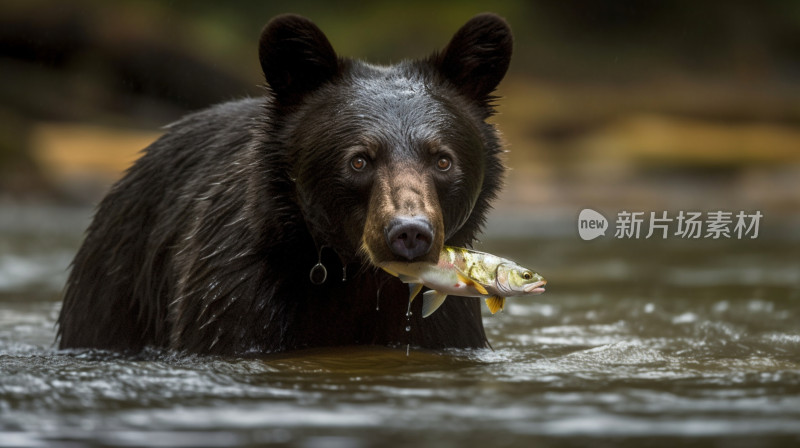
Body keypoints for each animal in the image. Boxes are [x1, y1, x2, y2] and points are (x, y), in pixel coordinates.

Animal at [59, 13, 516, 354]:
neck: (361, 278)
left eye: (442, 160)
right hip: (115, 290)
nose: (409, 232)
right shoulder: (235, 290)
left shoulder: (445, 325)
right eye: (359, 160)